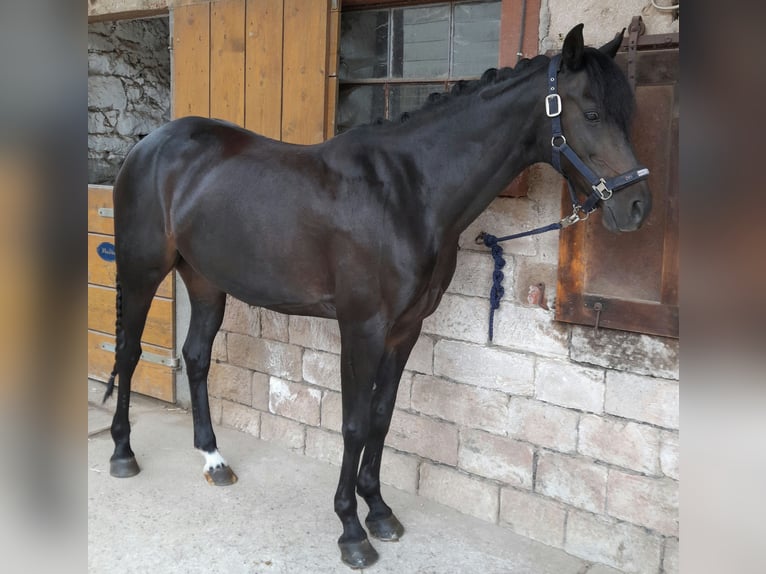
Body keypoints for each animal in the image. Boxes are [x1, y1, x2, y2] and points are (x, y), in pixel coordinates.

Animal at [105, 24, 652, 568]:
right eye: (593, 113)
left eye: (626, 116)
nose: (636, 207)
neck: (407, 194)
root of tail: (148, 145)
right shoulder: (361, 328)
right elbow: (353, 423)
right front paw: (351, 530)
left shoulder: (405, 329)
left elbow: (382, 418)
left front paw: (380, 511)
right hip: (141, 271)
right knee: (129, 352)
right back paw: (122, 454)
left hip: (204, 279)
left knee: (196, 357)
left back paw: (213, 460)